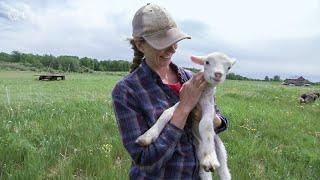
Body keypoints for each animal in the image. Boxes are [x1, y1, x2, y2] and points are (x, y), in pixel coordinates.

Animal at [135, 51, 235, 179]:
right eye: (207, 62)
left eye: (229, 67)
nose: (218, 74)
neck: (201, 95)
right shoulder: (184, 102)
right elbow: (166, 113)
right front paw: (147, 136)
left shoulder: (208, 104)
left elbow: (206, 124)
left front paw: (210, 159)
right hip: (199, 155)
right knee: (205, 173)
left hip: (220, 149)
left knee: (224, 171)